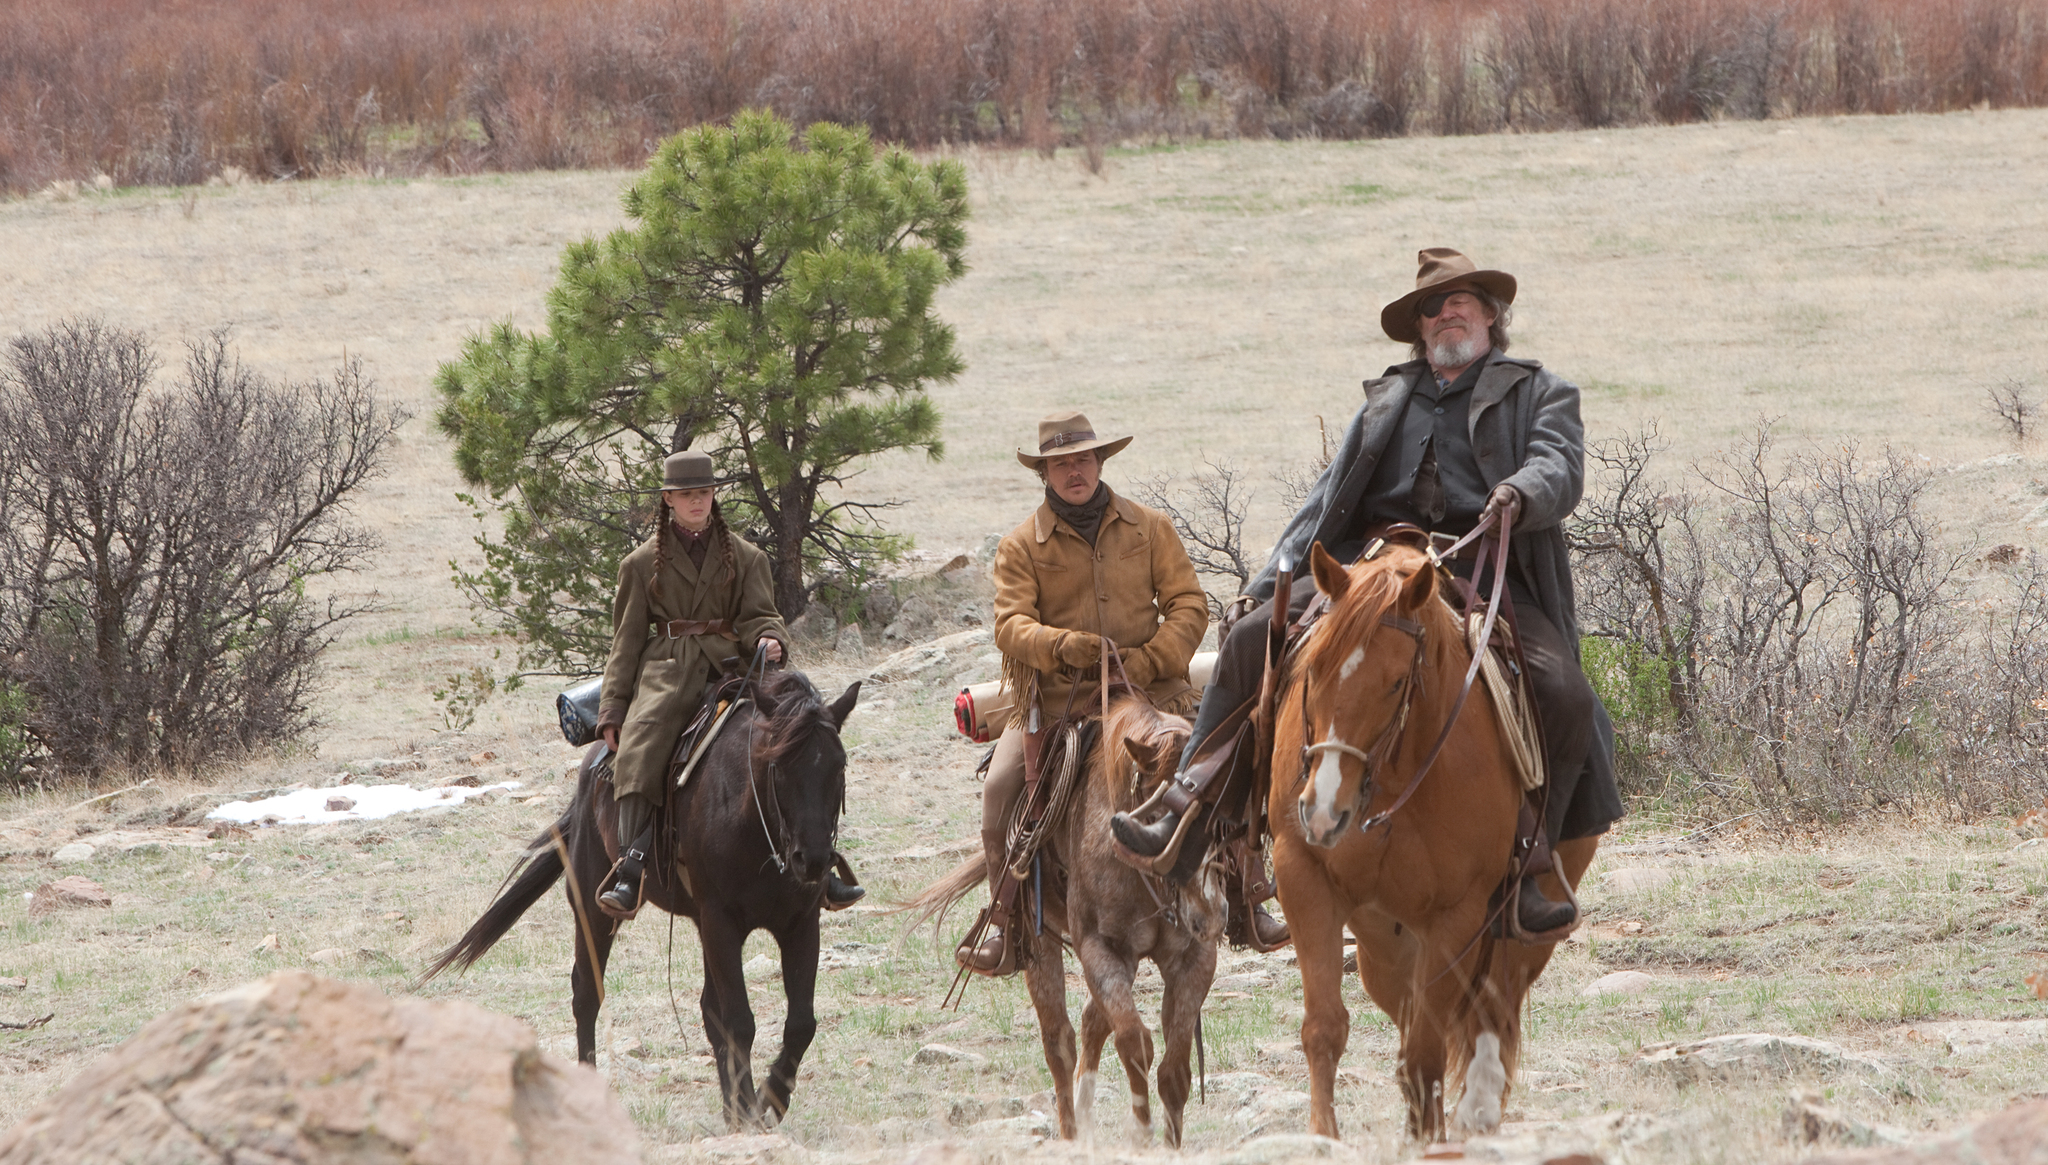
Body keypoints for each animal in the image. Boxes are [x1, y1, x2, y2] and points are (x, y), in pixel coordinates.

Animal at [423, 667, 856, 1130]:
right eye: (777, 765)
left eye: (839, 766)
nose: (813, 860)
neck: (755, 826)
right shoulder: (721, 923)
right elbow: (739, 1021)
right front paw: (748, 1110)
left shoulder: (799, 924)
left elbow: (799, 1024)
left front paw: (764, 1103)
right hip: (593, 909)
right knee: (586, 994)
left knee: (707, 1008)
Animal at [909, 692, 1220, 1146]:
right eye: (1159, 814)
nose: (1210, 913)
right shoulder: (1099, 947)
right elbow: (1134, 1042)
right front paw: (1141, 1134)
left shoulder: (1193, 959)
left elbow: (1174, 1070)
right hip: (1037, 941)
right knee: (1060, 1041)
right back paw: (1073, 1134)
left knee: (1091, 1024)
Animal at [1277, 544, 1597, 1138]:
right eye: (1314, 667)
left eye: (1396, 682)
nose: (1324, 809)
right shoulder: (1303, 878)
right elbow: (1325, 1030)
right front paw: (1324, 1137)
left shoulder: (1456, 917)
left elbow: (1426, 1051)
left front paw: (1430, 1139)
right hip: (1382, 948)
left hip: (1516, 940)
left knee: (1490, 1019)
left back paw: (1477, 1113)